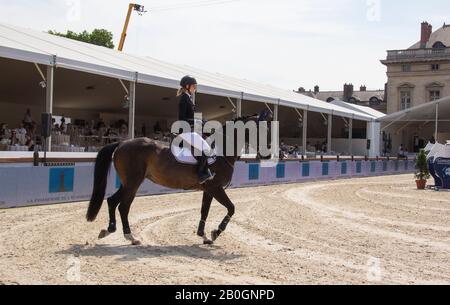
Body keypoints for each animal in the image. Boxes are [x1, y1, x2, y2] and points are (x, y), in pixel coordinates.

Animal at [86, 109, 272, 245]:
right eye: (263, 130)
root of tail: (122, 143)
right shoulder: (216, 188)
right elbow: (232, 208)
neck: (221, 150)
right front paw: (215, 232)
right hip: (133, 183)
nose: (268, 155)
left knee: (113, 202)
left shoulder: (209, 189)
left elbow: (205, 211)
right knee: (122, 206)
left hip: (129, 183)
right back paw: (129, 236)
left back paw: (110, 231)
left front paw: (204, 236)